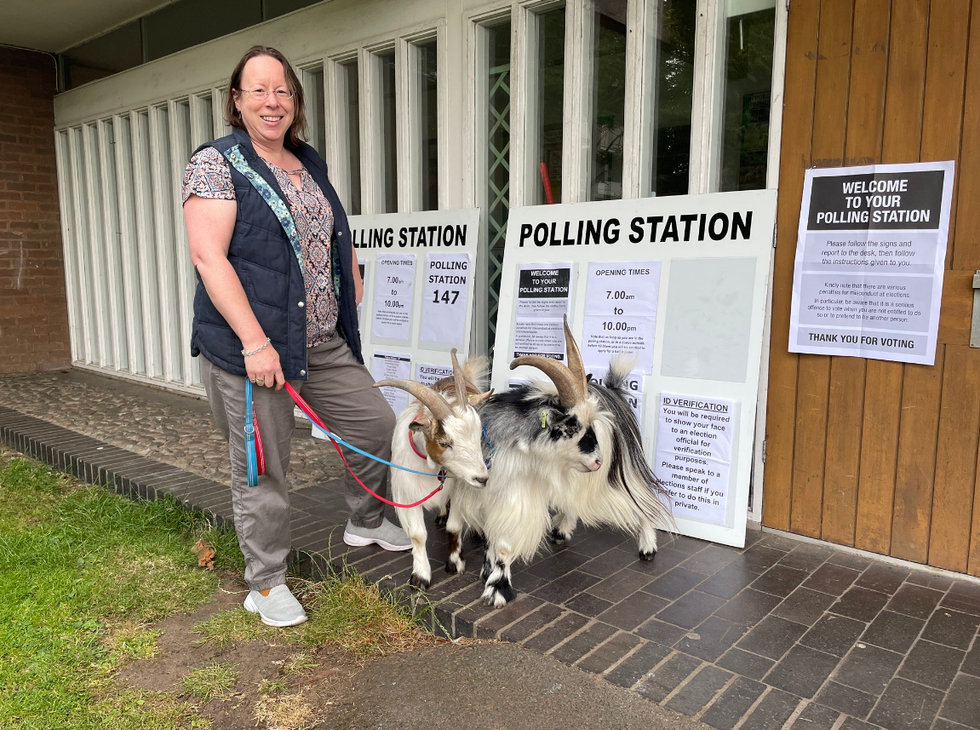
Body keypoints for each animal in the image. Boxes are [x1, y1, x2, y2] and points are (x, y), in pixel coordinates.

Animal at [378, 350, 498, 588]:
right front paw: (420, 576)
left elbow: (454, 527)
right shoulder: (407, 494)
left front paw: (455, 563)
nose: (482, 478)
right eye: (444, 443)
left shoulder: (461, 488)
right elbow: (418, 535)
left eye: (477, 435)